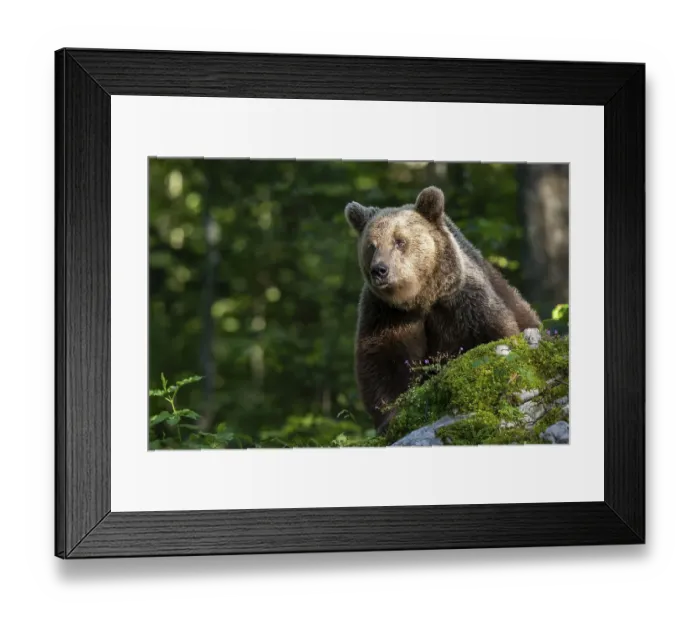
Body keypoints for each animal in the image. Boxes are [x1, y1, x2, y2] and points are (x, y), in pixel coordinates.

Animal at [344, 185, 542, 434]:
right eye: (371, 245)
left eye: (399, 241)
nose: (380, 270)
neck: (419, 299)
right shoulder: (386, 314)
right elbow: (384, 362)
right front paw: (390, 417)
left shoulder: (461, 303)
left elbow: (491, 336)